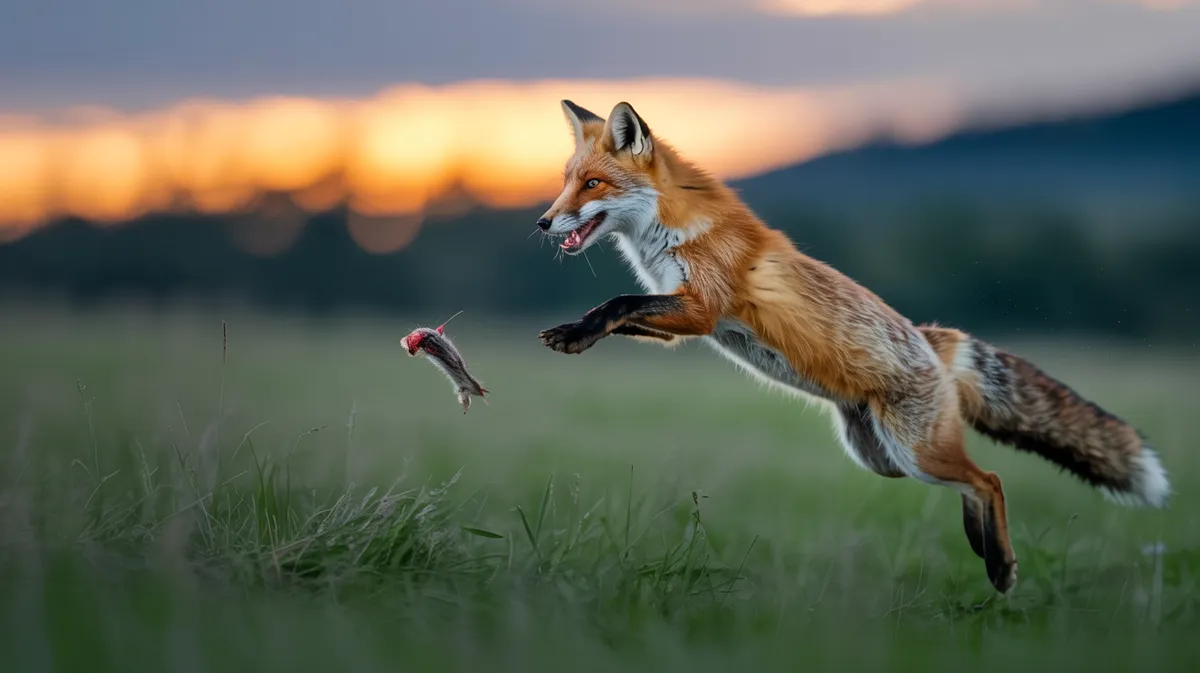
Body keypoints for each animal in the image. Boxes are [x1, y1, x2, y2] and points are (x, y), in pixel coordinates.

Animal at [533, 99, 1171, 594]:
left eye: (592, 184)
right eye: (566, 181)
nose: (541, 223)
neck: (668, 233)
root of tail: (933, 340)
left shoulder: (704, 308)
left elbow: (618, 302)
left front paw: (574, 332)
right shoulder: (682, 324)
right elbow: (621, 311)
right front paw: (574, 331)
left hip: (915, 452)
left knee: (990, 478)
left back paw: (1001, 565)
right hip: (885, 459)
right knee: (972, 483)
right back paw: (982, 544)